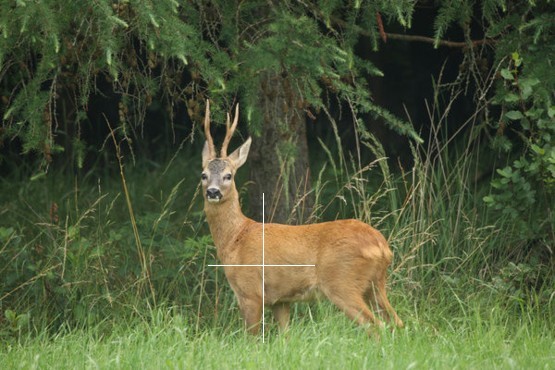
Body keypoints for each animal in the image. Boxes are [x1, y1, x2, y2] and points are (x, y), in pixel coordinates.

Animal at [201, 100, 404, 336]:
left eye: (229, 175)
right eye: (204, 175)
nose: (213, 192)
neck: (235, 238)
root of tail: (382, 246)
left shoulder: (250, 291)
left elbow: (251, 337)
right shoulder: (280, 300)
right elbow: (284, 335)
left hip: (342, 283)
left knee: (376, 326)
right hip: (375, 285)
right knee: (397, 322)